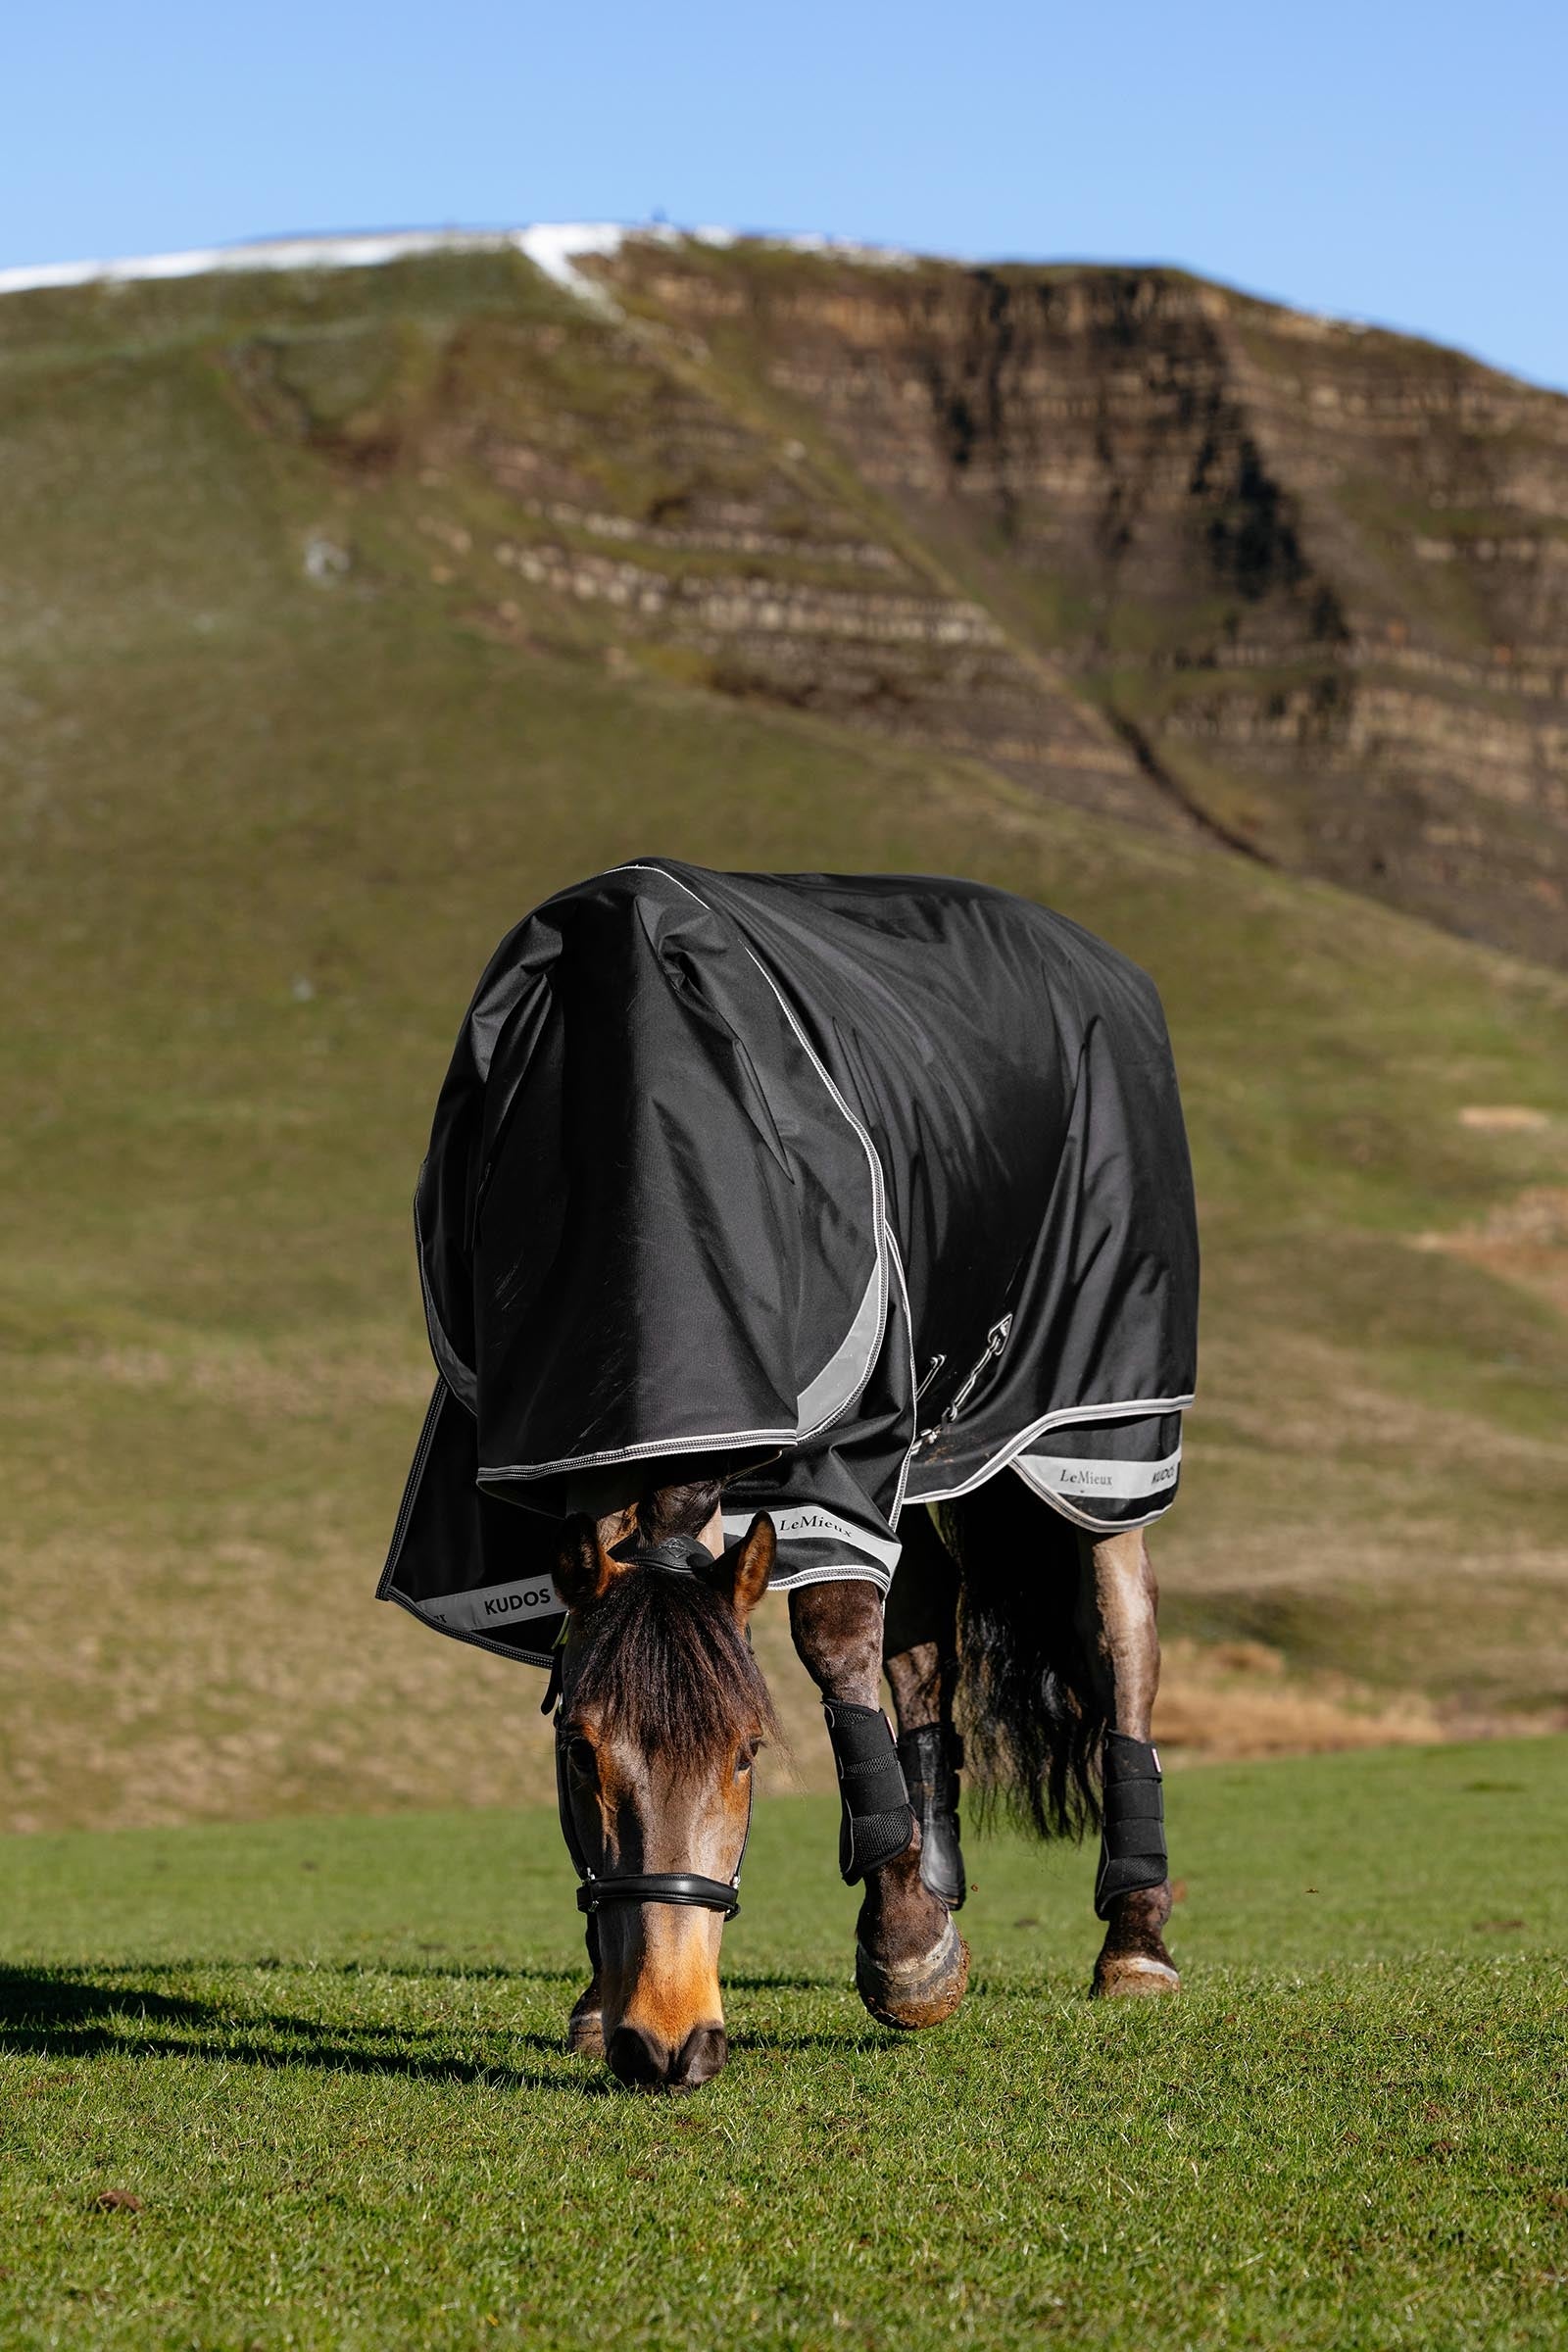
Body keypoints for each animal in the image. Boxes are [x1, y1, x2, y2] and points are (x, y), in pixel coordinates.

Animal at [382, 859, 1197, 2089]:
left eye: (748, 1753)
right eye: (578, 1755)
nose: (666, 2042)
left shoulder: (845, 1440)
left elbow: (832, 1640)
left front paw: (906, 1953)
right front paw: (598, 2000)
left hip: (1099, 1416)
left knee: (1124, 1639)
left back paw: (1131, 1942)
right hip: (932, 1443)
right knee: (923, 1637)